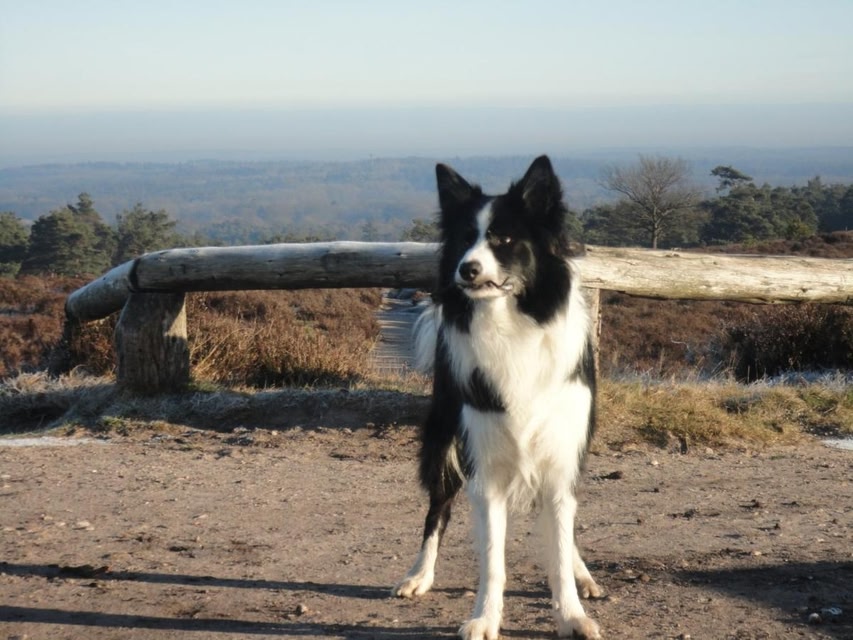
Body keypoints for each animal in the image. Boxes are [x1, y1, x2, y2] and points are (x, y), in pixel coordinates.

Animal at [393, 156, 602, 639]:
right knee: (437, 509)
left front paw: (571, 615)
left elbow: (558, 544)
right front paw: (484, 619)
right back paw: (419, 574)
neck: (513, 327)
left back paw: (582, 572)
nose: (466, 269)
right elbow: (493, 560)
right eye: (464, 239)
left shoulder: (561, 457)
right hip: (443, 438)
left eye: (503, 239)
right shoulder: (483, 466)